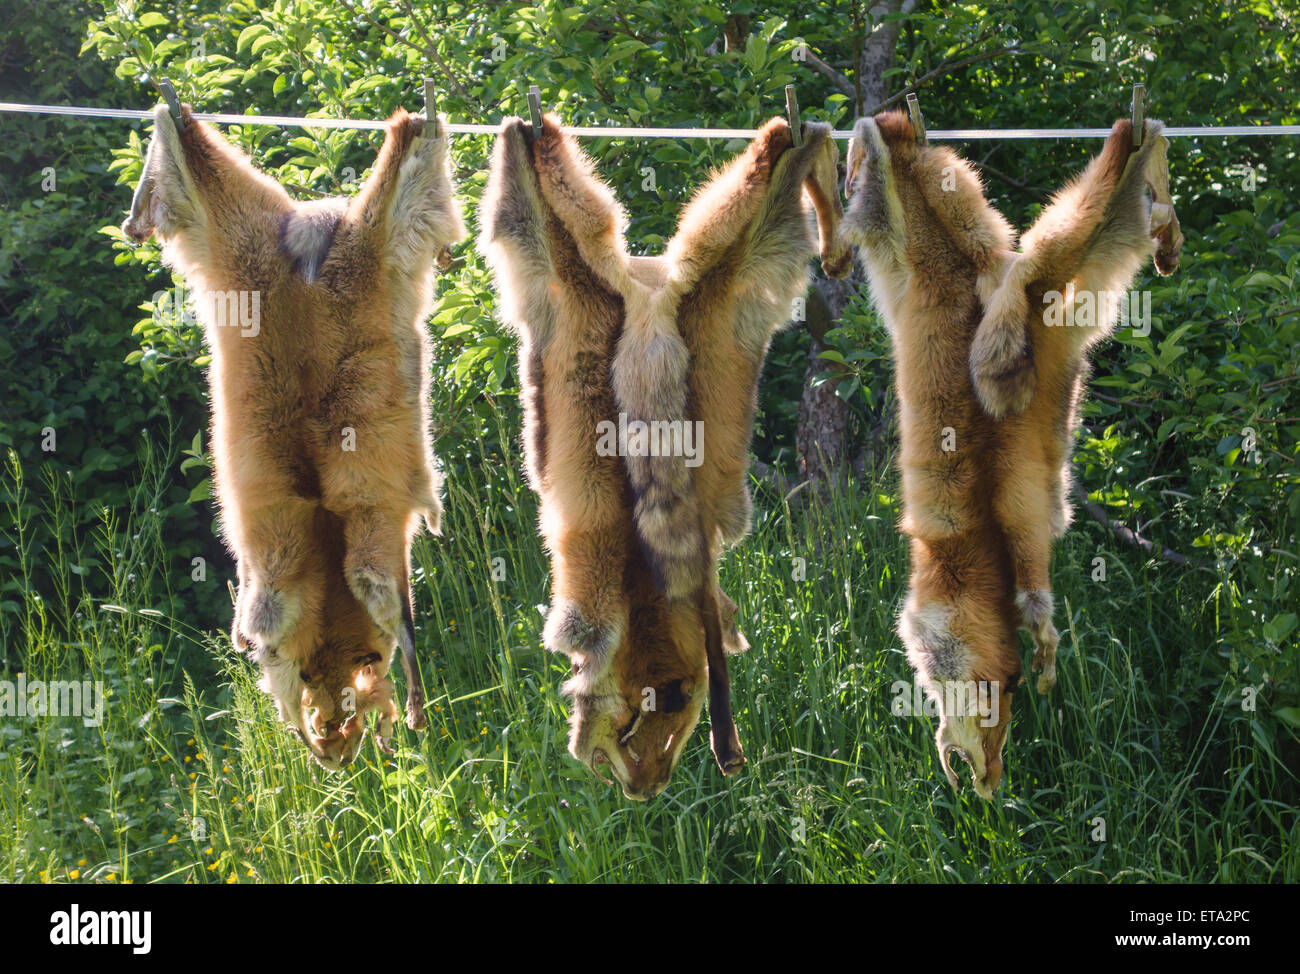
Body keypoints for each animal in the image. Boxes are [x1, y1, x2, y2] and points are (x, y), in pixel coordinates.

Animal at [121, 103, 465, 766]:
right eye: (328, 698)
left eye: (346, 704)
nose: (332, 750)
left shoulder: (330, 574)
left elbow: (395, 630)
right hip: (289, 244)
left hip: (253, 238)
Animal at [479, 113, 848, 798]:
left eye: (644, 737)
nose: (639, 791)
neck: (646, 600)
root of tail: (649, 299)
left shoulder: (597, 616)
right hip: (674, 273)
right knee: (773, 174)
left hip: (603, 267)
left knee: (531, 201)